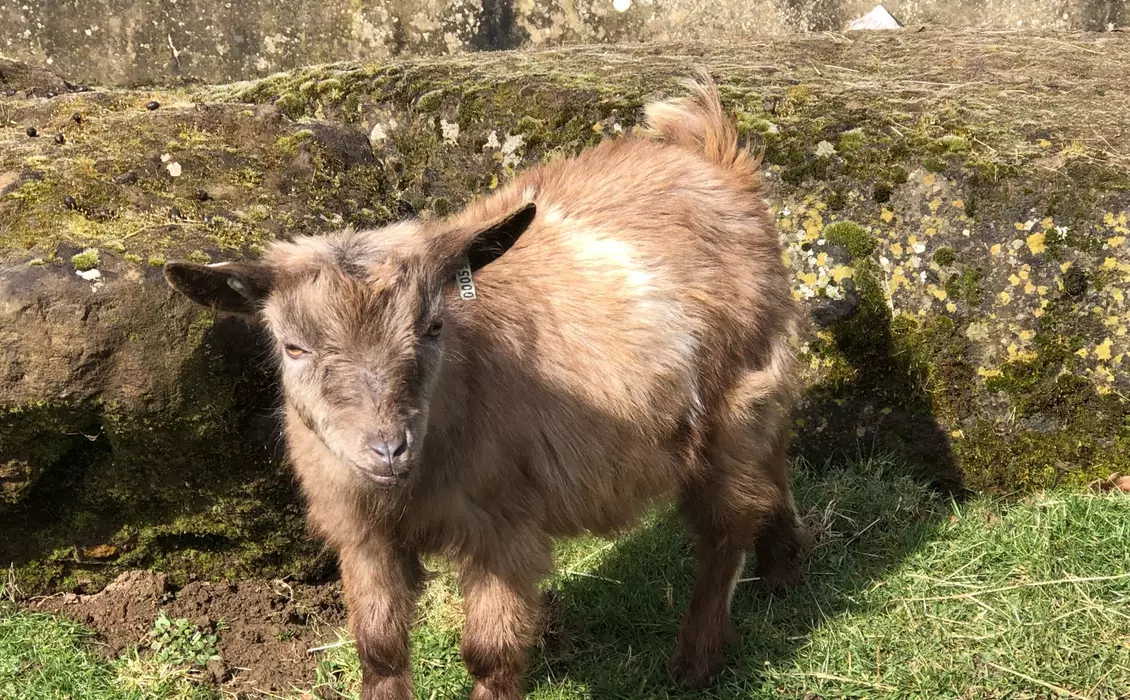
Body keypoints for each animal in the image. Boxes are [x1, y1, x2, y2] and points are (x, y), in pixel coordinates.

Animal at [164, 76, 804, 700]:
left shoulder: (502, 527)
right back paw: (784, 569)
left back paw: (696, 660)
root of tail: (714, 153)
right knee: (773, 467)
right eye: (293, 346)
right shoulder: (363, 536)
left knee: (727, 524)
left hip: (733, 402)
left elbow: (490, 654)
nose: (387, 449)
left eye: (433, 325)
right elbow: (379, 649)